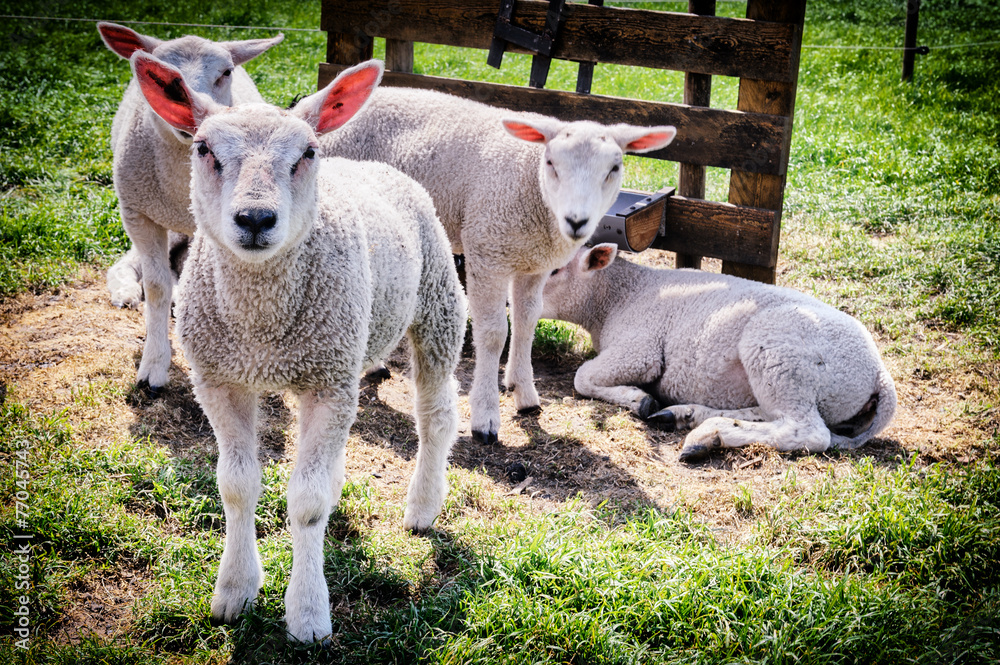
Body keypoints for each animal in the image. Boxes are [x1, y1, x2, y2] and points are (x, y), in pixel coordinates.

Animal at [97, 22, 282, 394]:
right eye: (159, 76)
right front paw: (154, 365)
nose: (190, 115)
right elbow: (155, 287)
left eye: (226, 72)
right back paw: (128, 291)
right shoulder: (137, 213)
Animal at [130, 53, 468, 644]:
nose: (255, 219)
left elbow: (306, 504)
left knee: (436, 417)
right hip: (349, 349)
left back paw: (424, 504)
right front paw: (235, 590)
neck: (261, 322)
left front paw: (308, 613)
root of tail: (374, 165)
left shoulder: (326, 382)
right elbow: (237, 486)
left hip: (436, 309)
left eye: (307, 152)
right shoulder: (220, 379)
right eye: (203, 149)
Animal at [324, 85, 676, 444]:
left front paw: (525, 394)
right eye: (551, 163)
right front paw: (485, 417)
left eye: (613, 169)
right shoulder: (486, 253)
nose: (577, 221)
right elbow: (494, 333)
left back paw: (375, 365)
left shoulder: (534, 265)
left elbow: (526, 323)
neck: (535, 193)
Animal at [540, 244, 900, 462]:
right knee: (770, 413)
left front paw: (636, 399)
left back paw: (710, 434)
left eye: (555, 271)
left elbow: (582, 377)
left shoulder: (640, 350)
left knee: (807, 431)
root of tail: (881, 376)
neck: (618, 297)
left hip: (778, 352)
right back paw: (686, 416)